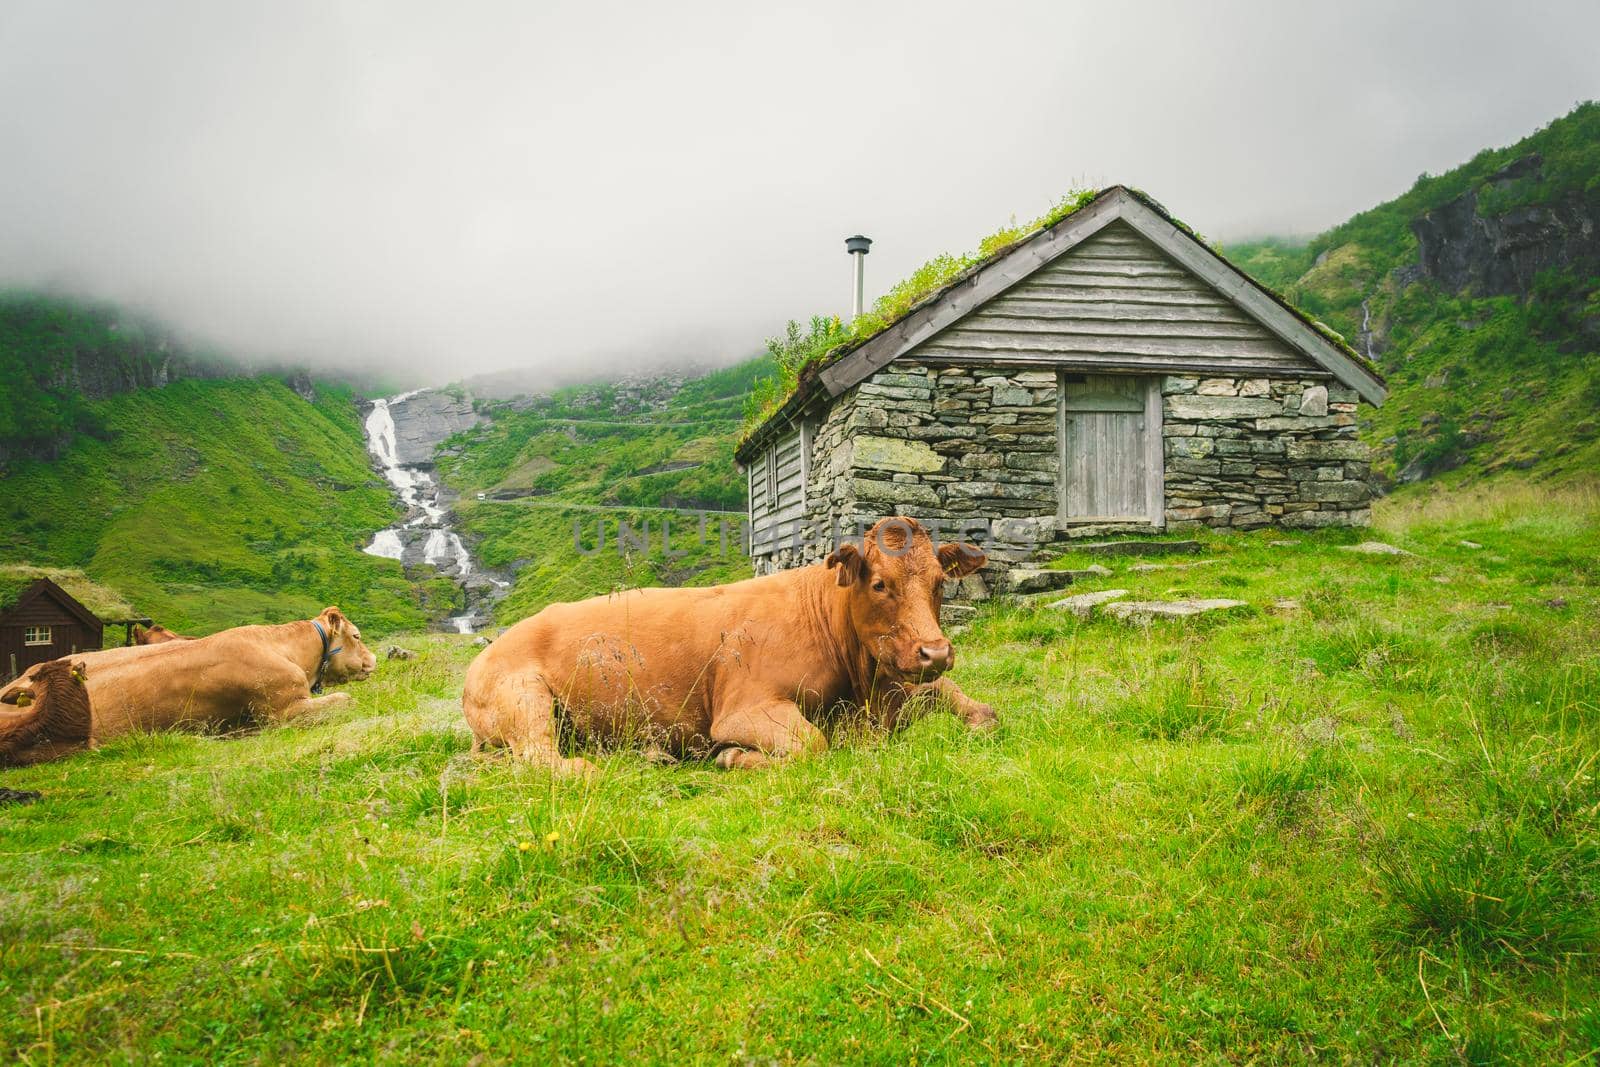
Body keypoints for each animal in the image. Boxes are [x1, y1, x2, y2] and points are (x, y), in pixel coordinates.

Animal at [457, 518, 992, 777]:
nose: (935, 653)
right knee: (540, 758)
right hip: (524, 697)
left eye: (940, 582)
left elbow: (981, 711)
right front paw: (733, 757)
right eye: (880, 584)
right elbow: (812, 744)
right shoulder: (743, 708)